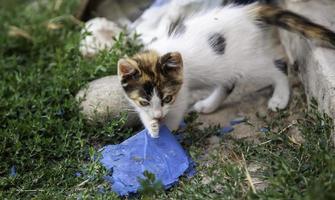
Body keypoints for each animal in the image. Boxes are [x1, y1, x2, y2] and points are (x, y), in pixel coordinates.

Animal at [117, 3, 335, 138]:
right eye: (144, 101)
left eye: (168, 98)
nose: (158, 115)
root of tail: (248, 12)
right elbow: (143, 113)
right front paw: (152, 126)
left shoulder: (181, 91)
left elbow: (176, 112)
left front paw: (167, 131)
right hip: (224, 66)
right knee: (228, 82)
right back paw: (209, 105)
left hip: (247, 62)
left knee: (279, 66)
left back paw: (279, 98)